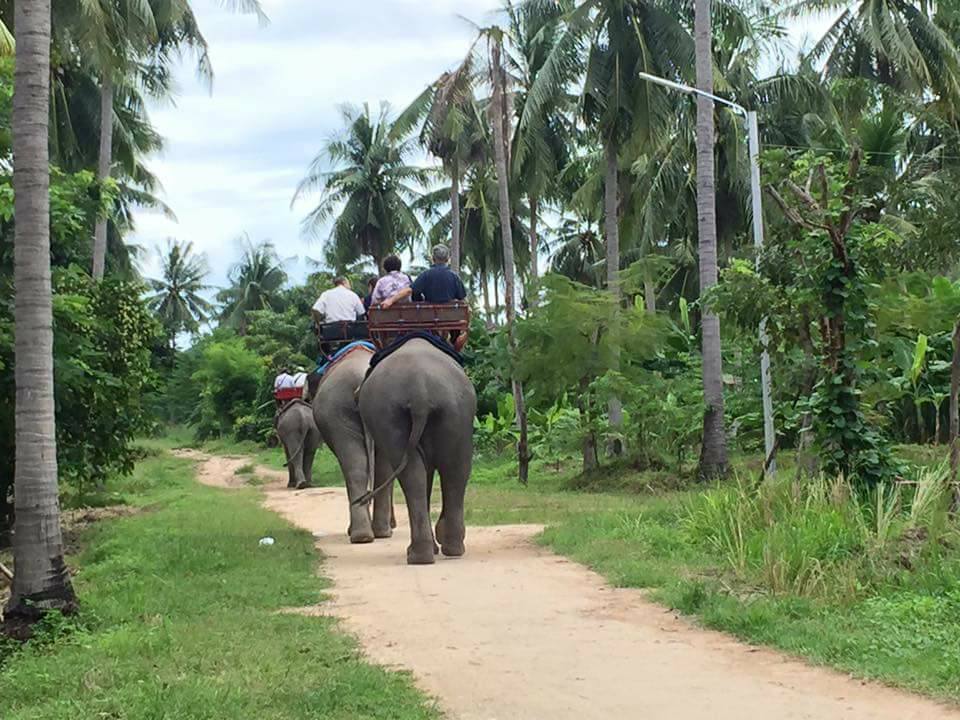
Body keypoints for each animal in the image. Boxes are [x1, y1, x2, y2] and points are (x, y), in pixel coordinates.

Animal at [312, 346, 394, 544]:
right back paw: (373, 534)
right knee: (372, 467)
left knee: (356, 466)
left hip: (336, 410)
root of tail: (362, 374)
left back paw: (365, 535)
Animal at [358, 340, 478, 564]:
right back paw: (441, 551)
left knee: (423, 473)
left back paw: (423, 554)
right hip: (452, 409)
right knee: (454, 469)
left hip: (400, 414)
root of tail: (419, 393)